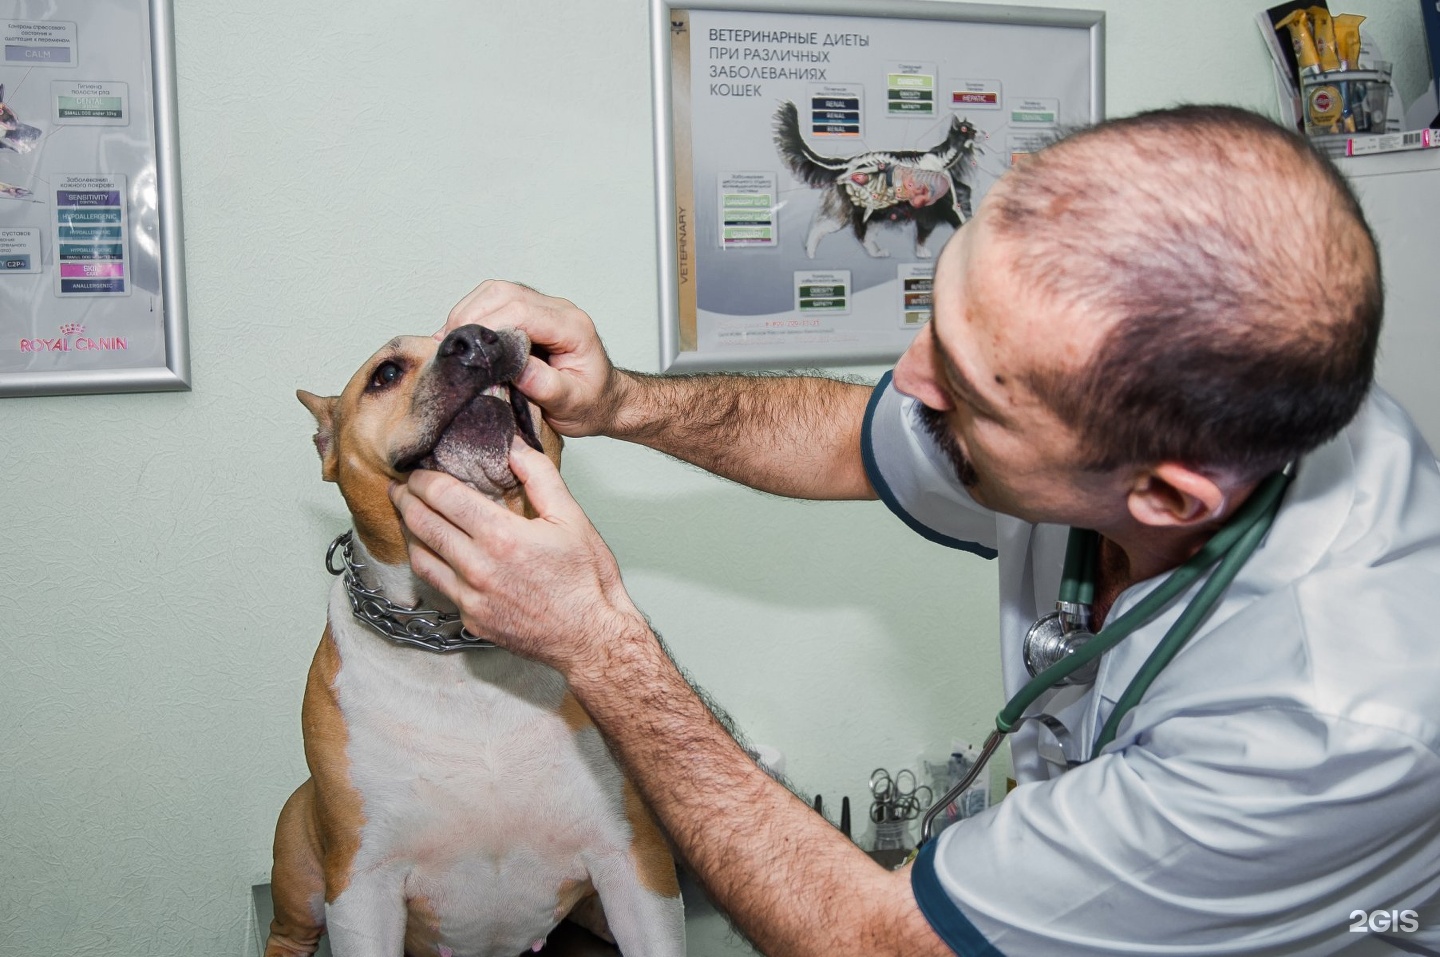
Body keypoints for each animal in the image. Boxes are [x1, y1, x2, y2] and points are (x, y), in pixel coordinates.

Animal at [270, 322, 685, 955]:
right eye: (385, 374)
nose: (476, 338)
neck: (454, 639)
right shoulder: (362, 885)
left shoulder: (636, 859)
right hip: (300, 854)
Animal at [777, 98, 979, 259]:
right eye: (965, 128)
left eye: (972, 128)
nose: (977, 133)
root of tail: (849, 162)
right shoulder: (930, 211)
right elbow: (923, 234)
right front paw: (923, 253)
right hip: (854, 210)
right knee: (831, 229)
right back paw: (810, 253)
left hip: (873, 212)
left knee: (861, 234)